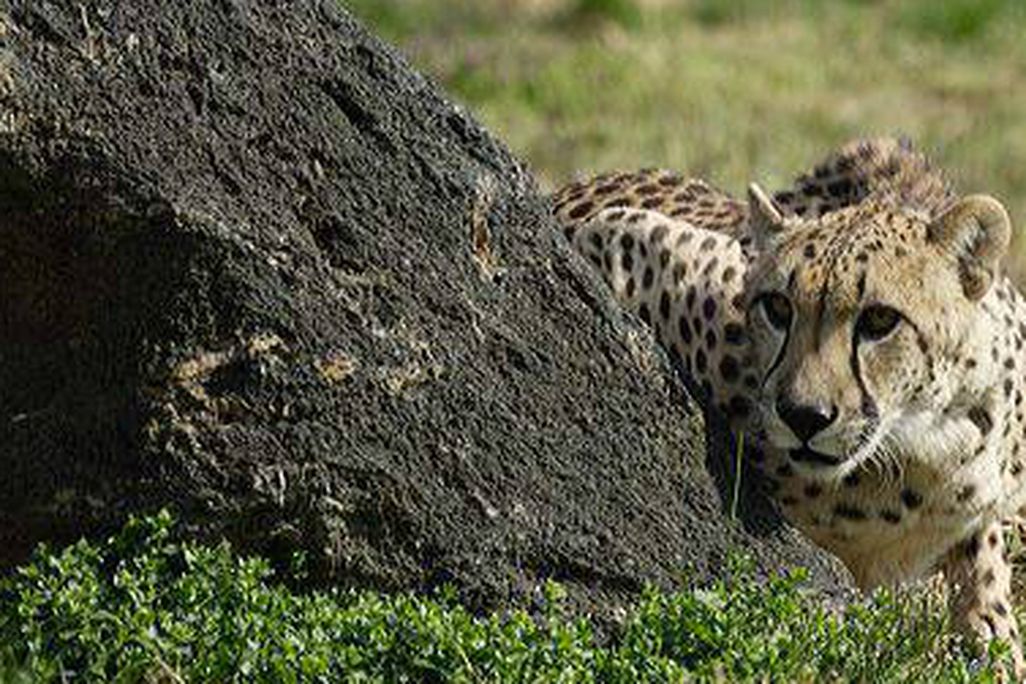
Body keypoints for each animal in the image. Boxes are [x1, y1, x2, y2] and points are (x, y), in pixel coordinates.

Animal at [552, 138, 1026, 672]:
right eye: (778, 307)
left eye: (880, 320)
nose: (803, 417)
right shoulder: (614, 235)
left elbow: (984, 568)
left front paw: (993, 639)